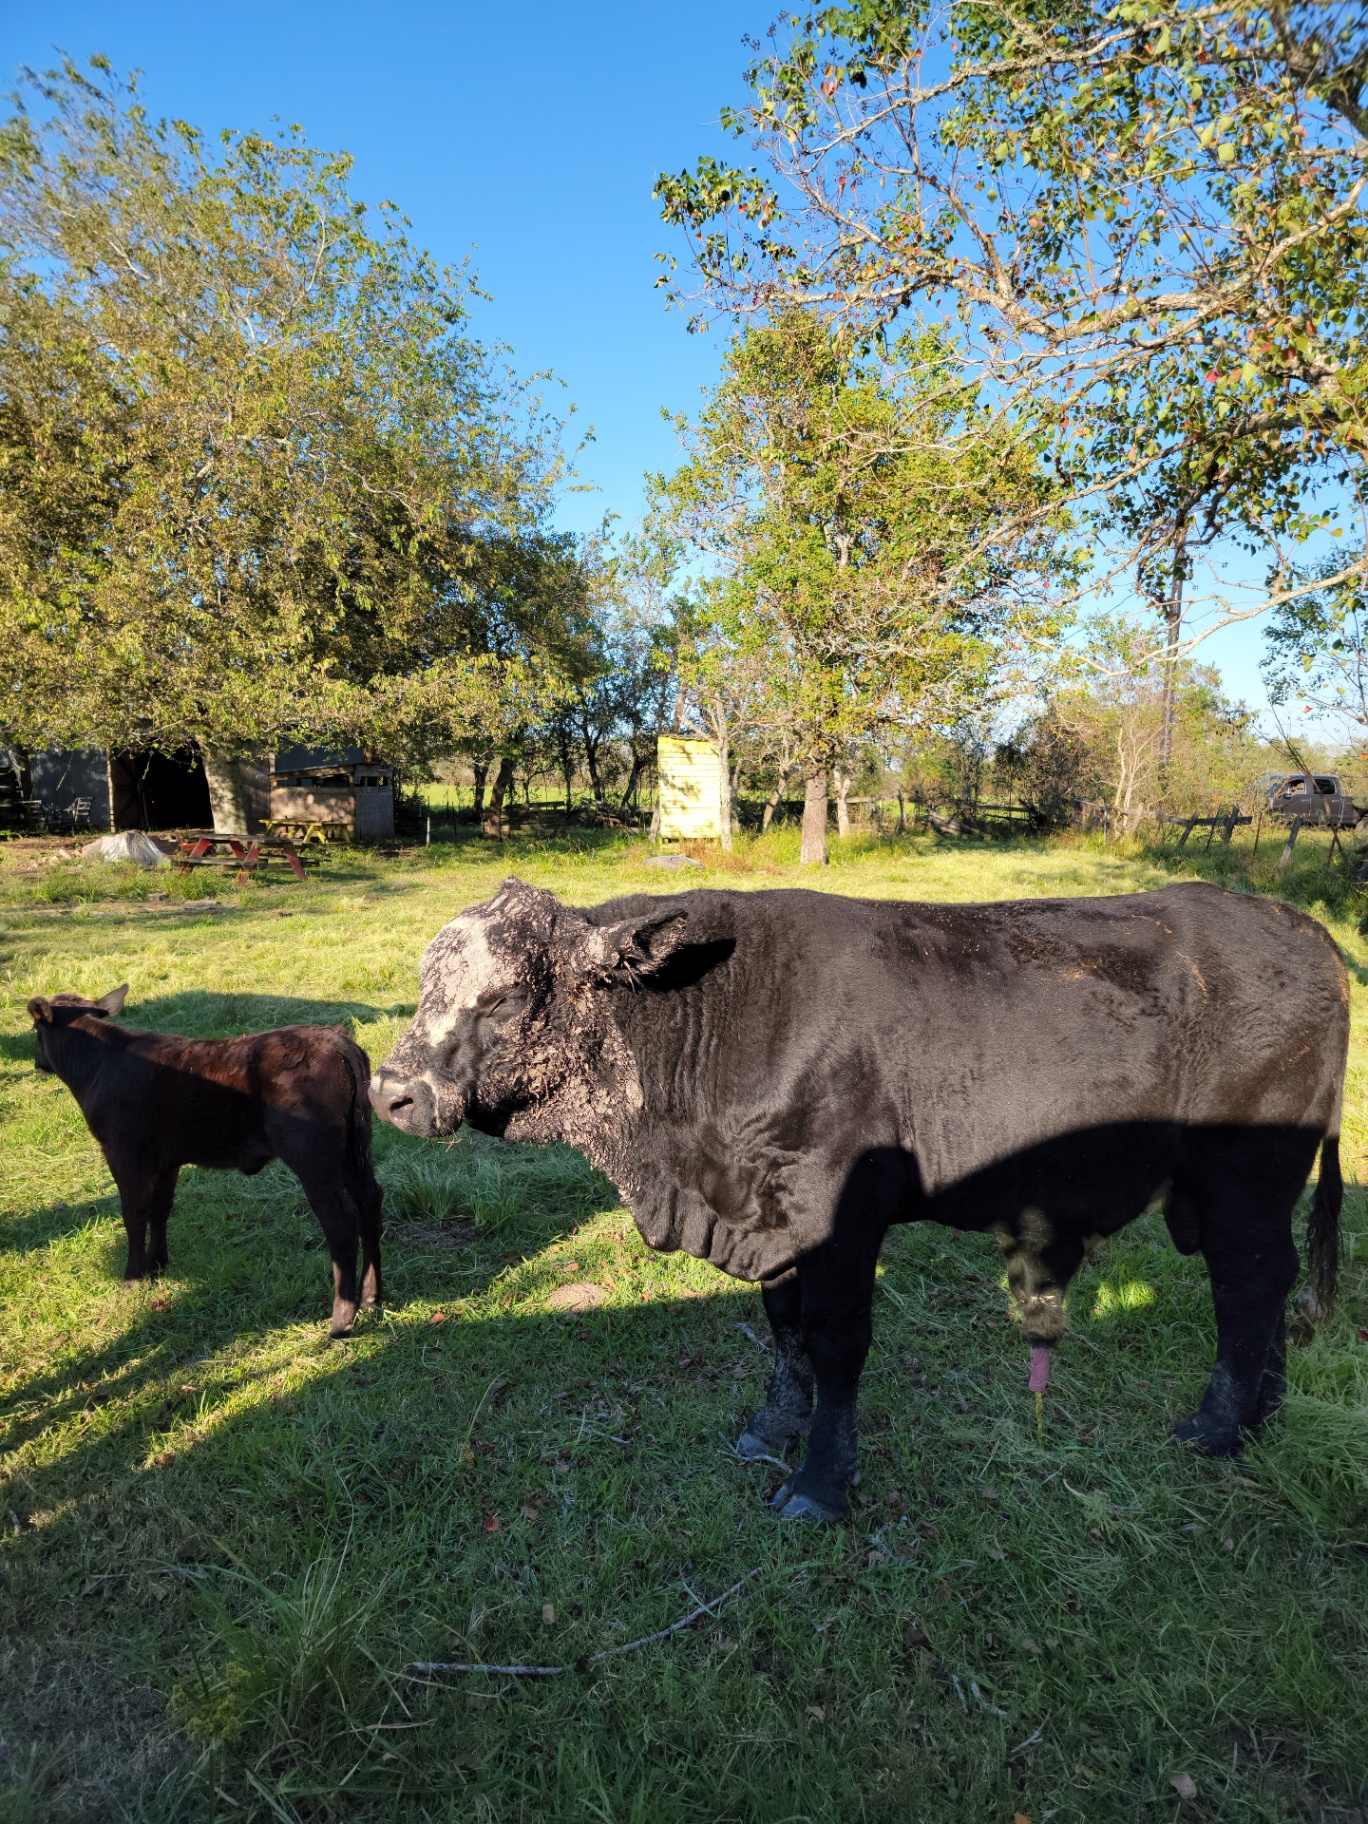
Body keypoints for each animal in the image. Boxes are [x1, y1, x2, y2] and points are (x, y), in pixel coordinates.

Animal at [29, 986, 384, 1337]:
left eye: (36, 1031)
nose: (37, 1062)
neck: (99, 1064)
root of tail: (335, 1039)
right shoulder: (167, 1160)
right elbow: (161, 1209)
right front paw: (157, 1264)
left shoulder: (124, 1153)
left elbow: (134, 1214)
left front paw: (133, 1278)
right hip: (354, 1149)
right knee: (369, 1200)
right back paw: (371, 1297)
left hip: (312, 1156)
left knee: (340, 1221)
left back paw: (341, 1319)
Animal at [368, 878, 1347, 1520]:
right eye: (420, 984)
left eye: (503, 998)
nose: (392, 1093)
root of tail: (1303, 928)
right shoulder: (768, 1219)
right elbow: (784, 1328)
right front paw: (773, 1425)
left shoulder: (837, 1217)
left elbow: (835, 1342)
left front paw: (819, 1483)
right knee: (1266, 1281)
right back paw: (1262, 1415)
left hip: (1245, 1175)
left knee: (1251, 1282)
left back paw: (1218, 1427)